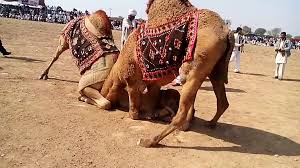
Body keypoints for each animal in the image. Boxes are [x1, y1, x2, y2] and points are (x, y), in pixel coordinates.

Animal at [99, 0, 236, 147]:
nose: (103, 96)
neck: (117, 70)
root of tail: (228, 32)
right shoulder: (152, 83)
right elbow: (152, 99)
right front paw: (152, 113)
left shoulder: (132, 79)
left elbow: (133, 110)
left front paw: (140, 114)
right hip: (216, 68)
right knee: (221, 100)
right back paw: (206, 123)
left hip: (196, 63)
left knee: (182, 108)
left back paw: (149, 140)